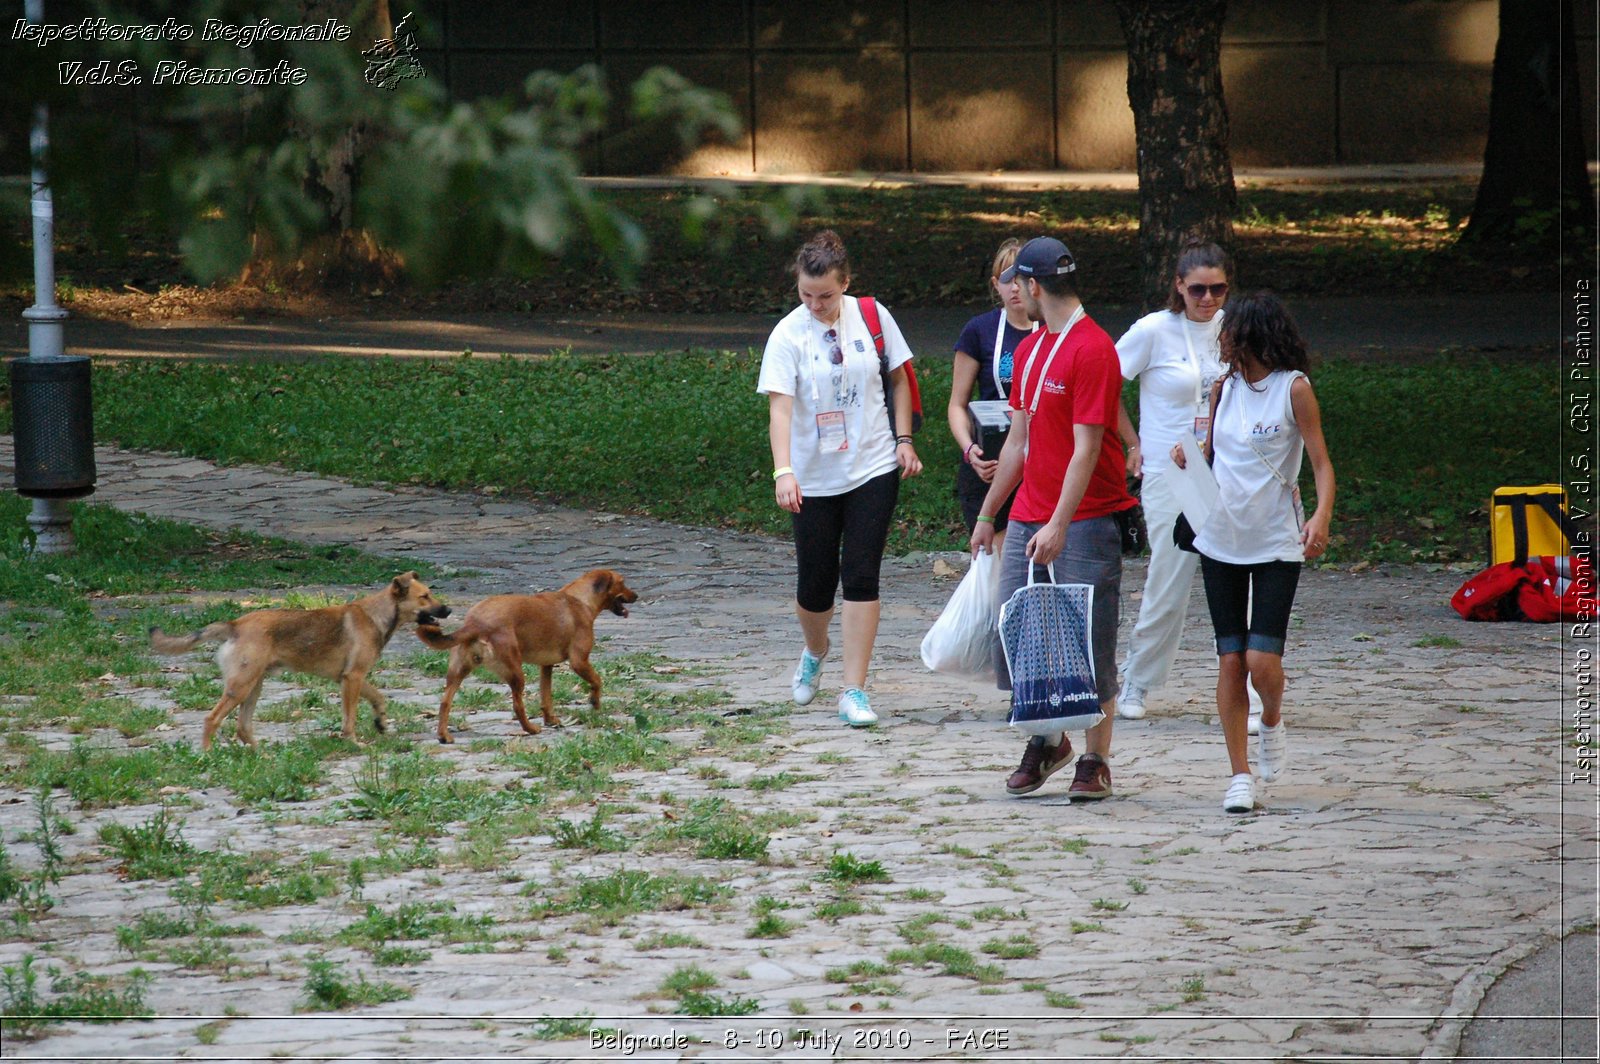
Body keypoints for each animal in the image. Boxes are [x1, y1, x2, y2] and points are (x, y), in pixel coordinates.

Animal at [149, 572, 444, 745]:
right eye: (424, 596)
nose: (449, 610)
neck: (378, 614)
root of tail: (235, 625)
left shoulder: (351, 677)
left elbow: (379, 697)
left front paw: (381, 722)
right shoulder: (353, 678)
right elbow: (349, 718)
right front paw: (353, 742)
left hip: (254, 686)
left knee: (243, 727)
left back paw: (261, 757)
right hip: (241, 686)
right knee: (212, 720)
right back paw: (208, 755)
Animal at [419, 569, 636, 742]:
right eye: (623, 582)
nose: (636, 595)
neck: (580, 599)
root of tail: (475, 623)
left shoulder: (546, 666)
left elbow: (546, 697)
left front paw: (551, 720)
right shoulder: (579, 661)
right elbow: (597, 681)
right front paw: (595, 702)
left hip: (457, 672)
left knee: (445, 702)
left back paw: (444, 735)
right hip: (515, 671)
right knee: (517, 705)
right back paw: (530, 729)